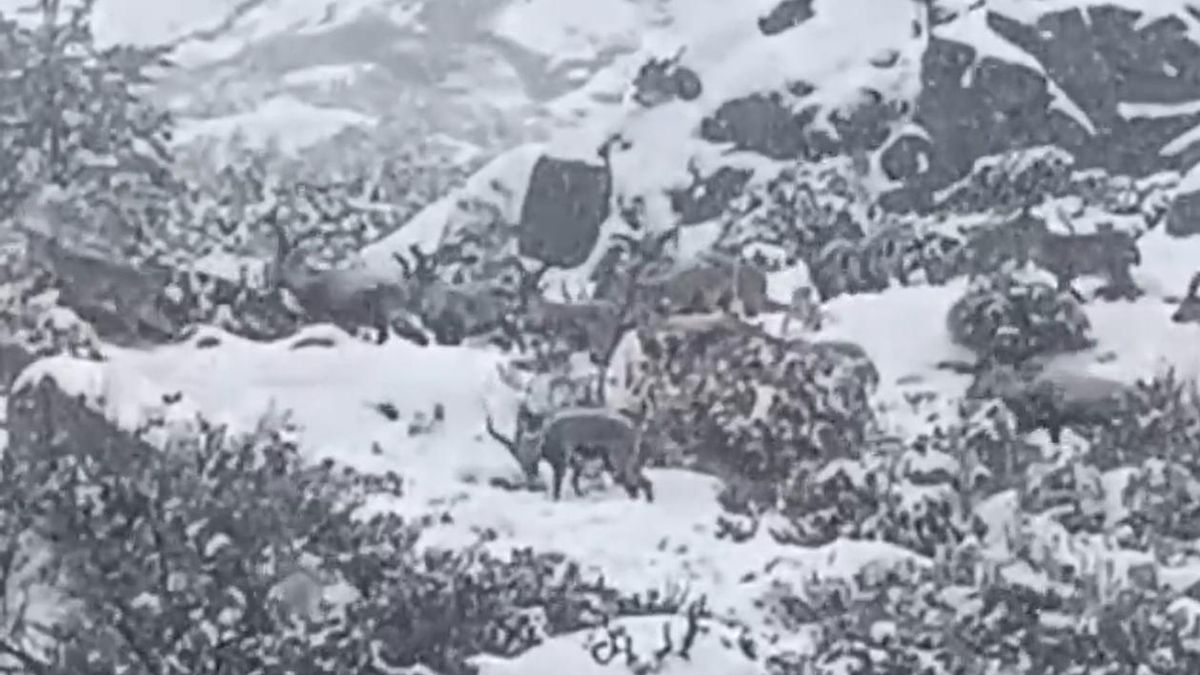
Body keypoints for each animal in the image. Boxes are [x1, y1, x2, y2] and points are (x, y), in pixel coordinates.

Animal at [480, 398, 657, 499]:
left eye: (529, 461)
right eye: (520, 461)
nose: (532, 482)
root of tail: (634, 427)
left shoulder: (561, 464)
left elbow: (558, 490)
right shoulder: (574, 464)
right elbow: (575, 482)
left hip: (618, 462)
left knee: (638, 485)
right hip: (618, 464)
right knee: (640, 485)